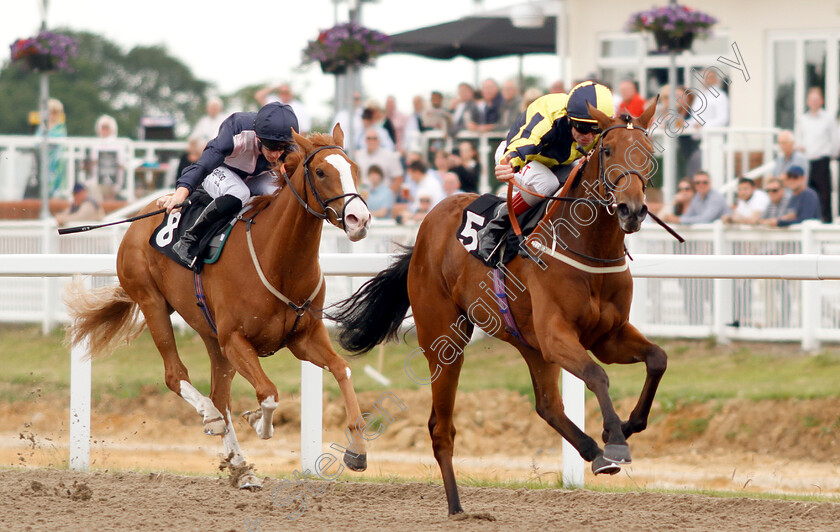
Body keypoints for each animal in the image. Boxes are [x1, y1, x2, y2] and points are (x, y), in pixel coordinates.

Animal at [67, 123, 376, 486]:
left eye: (353, 169)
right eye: (321, 171)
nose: (359, 219)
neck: (279, 260)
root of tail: (138, 220)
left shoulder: (304, 337)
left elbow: (342, 368)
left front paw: (357, 451)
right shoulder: (236, 340)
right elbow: (268, 392)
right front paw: (257, 421)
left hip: (210, 334)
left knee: (220, 395)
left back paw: (241, 468)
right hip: (152, 302)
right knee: (177, 376)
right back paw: (211, 418)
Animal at [334, 102, 668, 512]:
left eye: (648, 154)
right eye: (607, 151)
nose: (631, 210)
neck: (589, 248)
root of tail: (428, 224)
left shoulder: (608, 335)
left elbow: (657, 359)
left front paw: (628, 426)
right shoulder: (557, 335)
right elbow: (596, 374)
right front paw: (616, 440)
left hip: (529, 343)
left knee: (548, 406)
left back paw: (592, 451)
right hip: (446, 340)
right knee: (441, 427)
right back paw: (457, 508)